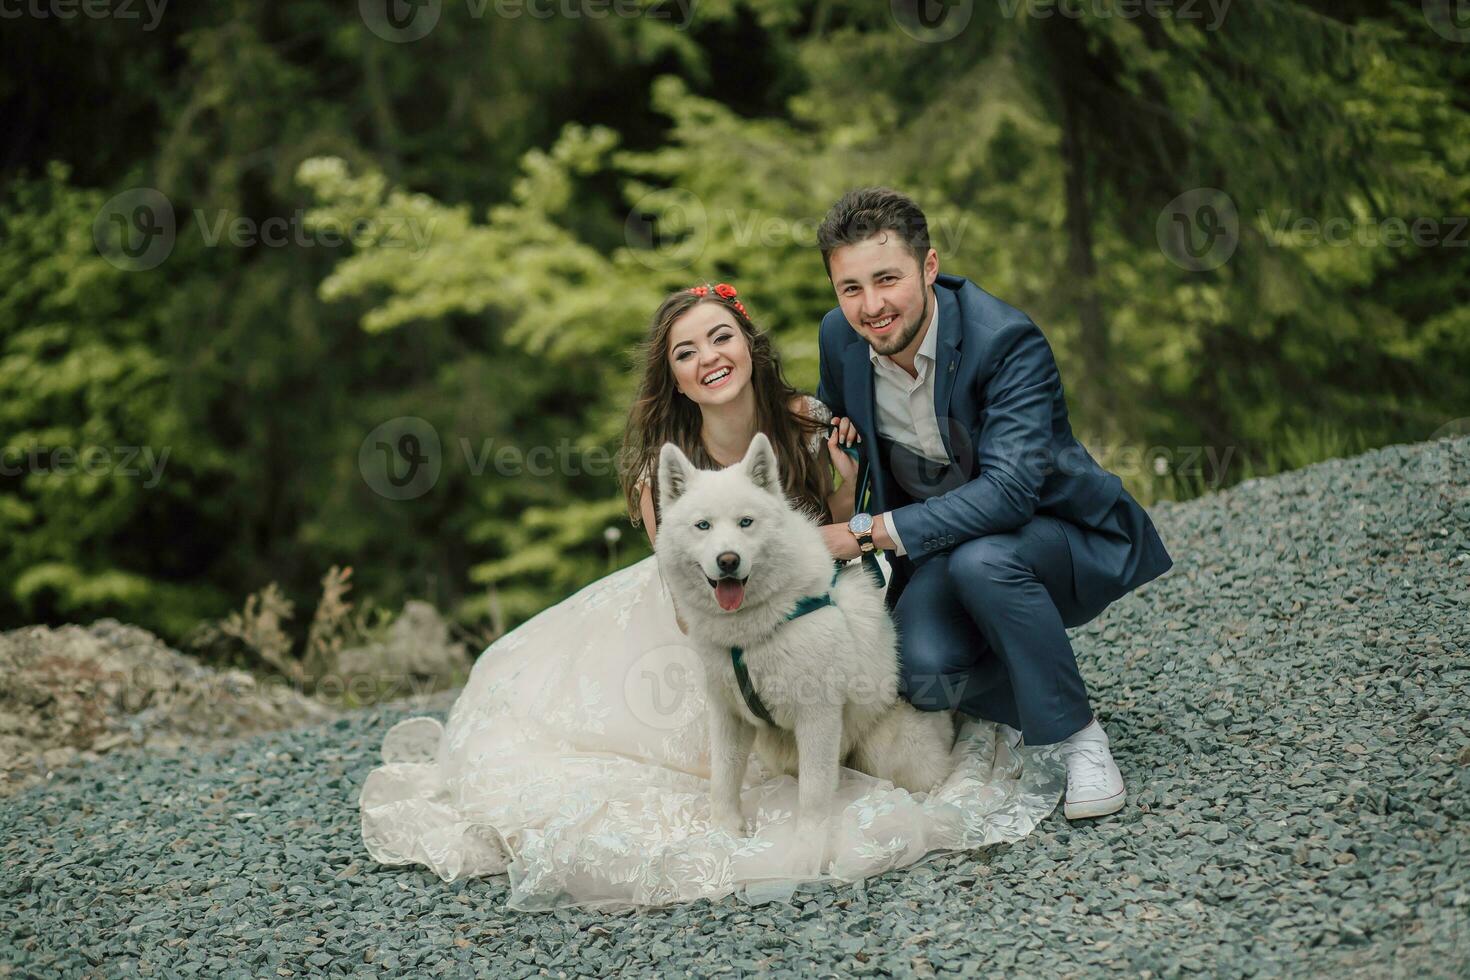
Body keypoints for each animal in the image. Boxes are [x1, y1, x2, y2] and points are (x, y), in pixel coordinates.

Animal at [652, 431, 952, 834]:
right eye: (703, 526)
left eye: (746, 522)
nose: (728, 561)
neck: (751, 635)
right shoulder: (728, 715)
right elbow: (723, 778)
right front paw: (725, 831)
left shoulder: (817, 716)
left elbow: (813, 794)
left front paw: (808, 843)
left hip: (887, 751)